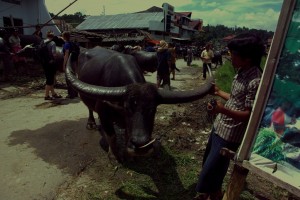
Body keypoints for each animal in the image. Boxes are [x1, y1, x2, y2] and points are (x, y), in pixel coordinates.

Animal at [67, 46, 214, 162]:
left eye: (153, 110)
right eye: (127, 108)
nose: (140, 144)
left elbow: (127, 132)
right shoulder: (104, 113)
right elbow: (112, 136)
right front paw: (113, 156)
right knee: (89, 109)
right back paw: (91, 123)